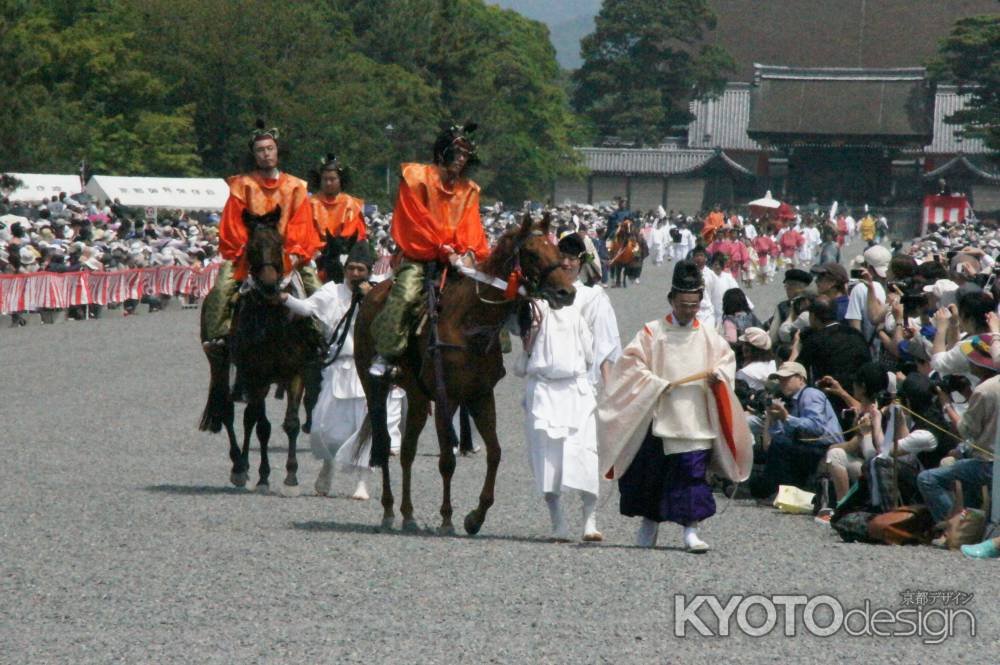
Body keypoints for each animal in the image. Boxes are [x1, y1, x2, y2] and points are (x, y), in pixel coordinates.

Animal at [196, 206, 316, 492]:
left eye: (279, 243)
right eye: (251, 247)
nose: (270, 285)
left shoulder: (295, 371)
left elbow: (291, 423)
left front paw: (291, 474)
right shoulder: (257, 373)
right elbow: (262, 426)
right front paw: (263, 475)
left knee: (246, 416)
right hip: (221, 365)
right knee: (229, 411)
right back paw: (239, 466)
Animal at [354, 213, 576, 536]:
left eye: (557, 251)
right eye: (532, 254)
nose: (567, 293)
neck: (470, 323)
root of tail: (370, 297)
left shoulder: (480, 394)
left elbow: (495, 452)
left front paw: (476, 516)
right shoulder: (447, 396)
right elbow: (447, 459)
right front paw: (447, 518)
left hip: (417, 396)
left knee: (407, 451)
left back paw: (408, 514)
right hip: (374, 386)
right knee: (383, 445)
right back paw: (388, 510)